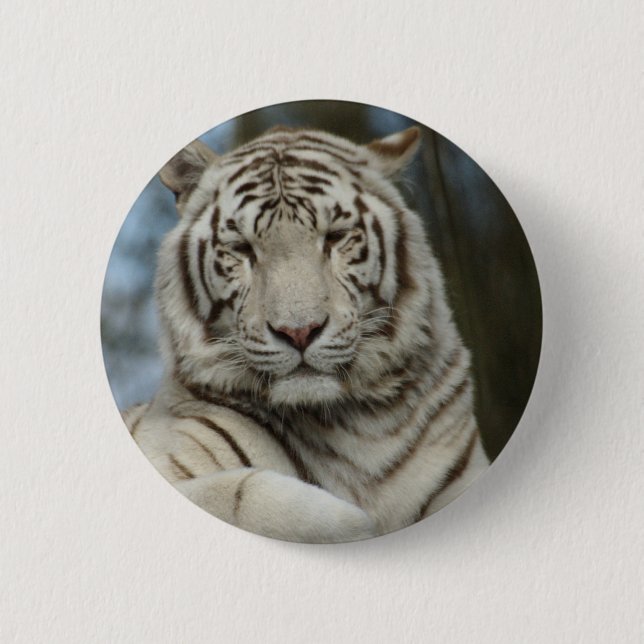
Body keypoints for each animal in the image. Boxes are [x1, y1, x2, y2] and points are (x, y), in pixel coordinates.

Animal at [124, 124, 490, 543]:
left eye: (335, 237)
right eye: (241, 248)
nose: (298, 331)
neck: (360, 429)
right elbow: (243, 495)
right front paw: (355, 523)